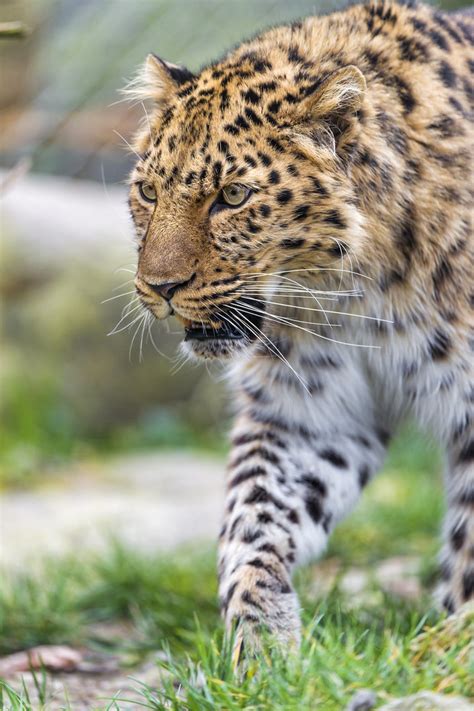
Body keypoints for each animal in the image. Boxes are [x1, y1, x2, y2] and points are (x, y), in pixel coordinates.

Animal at [124, 0, 472, 656]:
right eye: (149, 192)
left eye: (233, 196)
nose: (160, 288)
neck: (357, 293)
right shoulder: (311, 410)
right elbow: (253, 514)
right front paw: (263, 640)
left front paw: (452, 647)